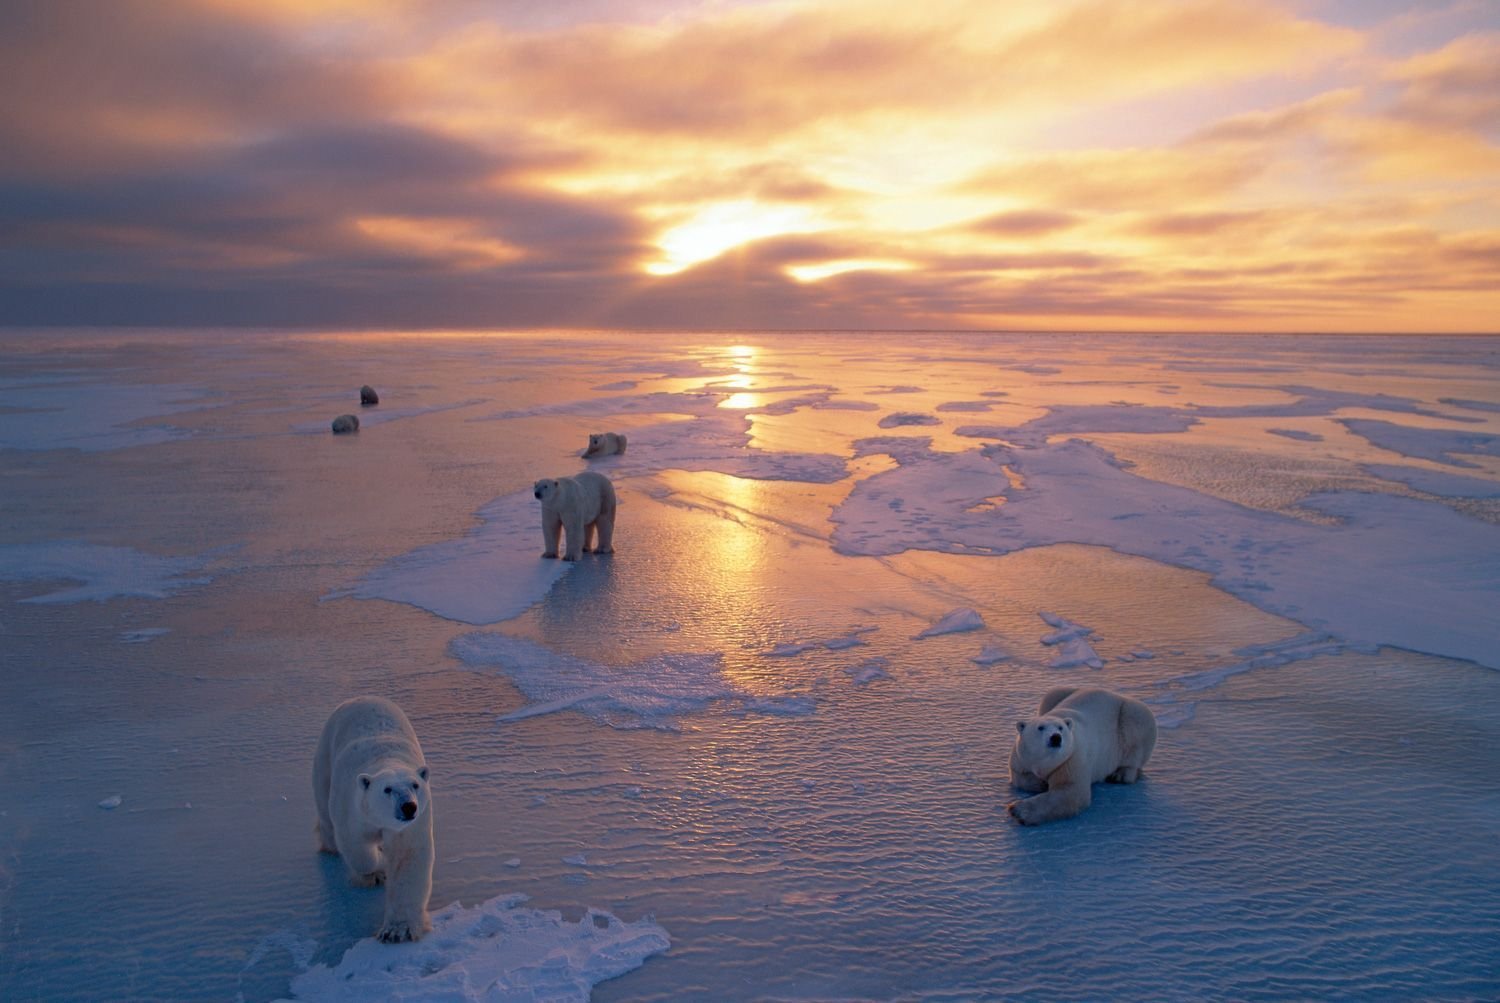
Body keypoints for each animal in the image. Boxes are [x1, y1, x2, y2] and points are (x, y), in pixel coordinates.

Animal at [312, 695, 435, 941]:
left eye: (415, 785)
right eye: (387, 789)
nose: (408, 807)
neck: (386, 758)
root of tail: (361, 697)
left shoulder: (413, 824)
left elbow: (408, 858)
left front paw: (398, 930)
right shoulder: (352, 808)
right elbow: (357, 849)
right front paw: (378, 870)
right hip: (325, 754)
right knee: (325, 810)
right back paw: (329, 846)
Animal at [1008, 683, 1158, 827]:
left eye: (1061, 728)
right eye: (1040, 727)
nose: (1056, 737)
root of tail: (1115, 694)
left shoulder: (1072, 757)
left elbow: (1072, 791)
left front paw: (1018, 811)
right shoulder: (1021, 757)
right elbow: (1019, 777)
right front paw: (1041, 783)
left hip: (1130, 714)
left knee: (1136, 729)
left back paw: (1120, 775)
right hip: (1058, 695)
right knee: (1051, 694)